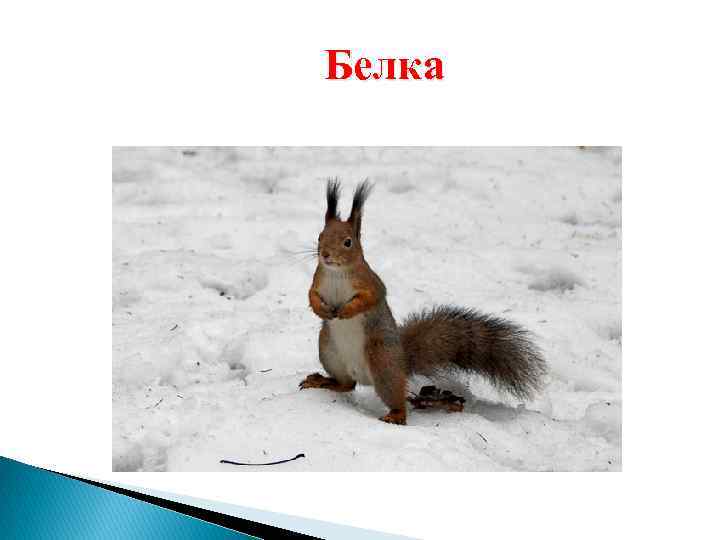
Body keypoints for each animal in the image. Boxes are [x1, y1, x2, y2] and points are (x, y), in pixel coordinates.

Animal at [299, 179, 547, 425]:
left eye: (348, 242)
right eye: (320, 236)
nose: (325, 255)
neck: (336, 273)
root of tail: (400, 363)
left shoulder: (371, 283)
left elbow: (370, 299)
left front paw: (346, 310)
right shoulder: (318, 281)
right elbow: (311, 295)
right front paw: (322, 310)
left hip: (382, 363)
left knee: (393, 397)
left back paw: (395, 415)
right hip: (329, 352)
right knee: (346, 385)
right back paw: (322, 381)